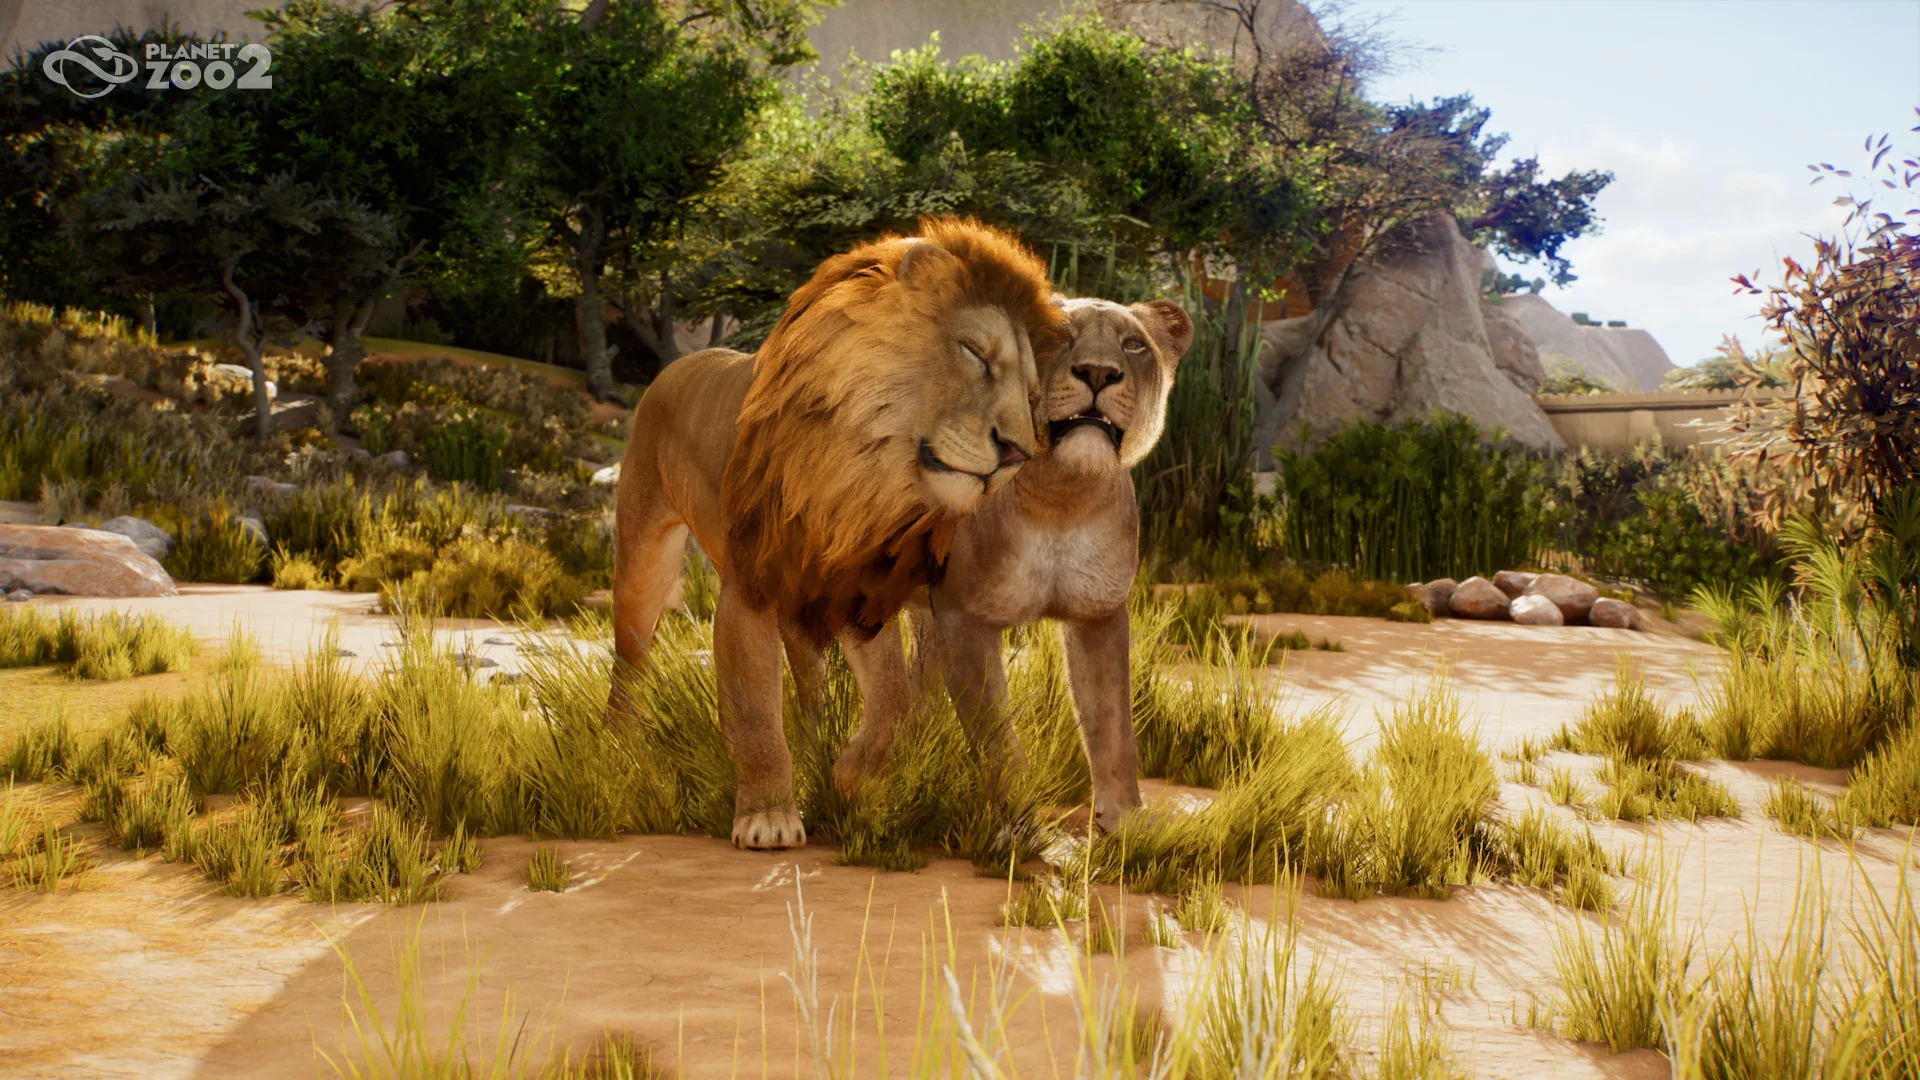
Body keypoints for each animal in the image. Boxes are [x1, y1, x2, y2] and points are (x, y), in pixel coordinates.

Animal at [609, 217, 1069, 851]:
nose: (1016, 453)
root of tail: (675, 366)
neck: (874, 482)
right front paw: (769, 815)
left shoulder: (864, 593)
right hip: (644, 566)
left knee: (818, 682)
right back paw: (615, 754)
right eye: (975, 353)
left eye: (1031, 395)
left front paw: (851, 774)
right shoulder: (751, 589)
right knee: (627, 661)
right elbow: (754, 712)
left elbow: (899, 701)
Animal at [827, 297, 1192, 834]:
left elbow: (1113, 724)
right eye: (1059, 336)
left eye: (1133, 344)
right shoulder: (964, 618)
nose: (1099, 372)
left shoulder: (1098, 614)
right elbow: (995, 732)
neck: (1060, 494)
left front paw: (1124, 822)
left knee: (912, 693)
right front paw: (1018, 826)